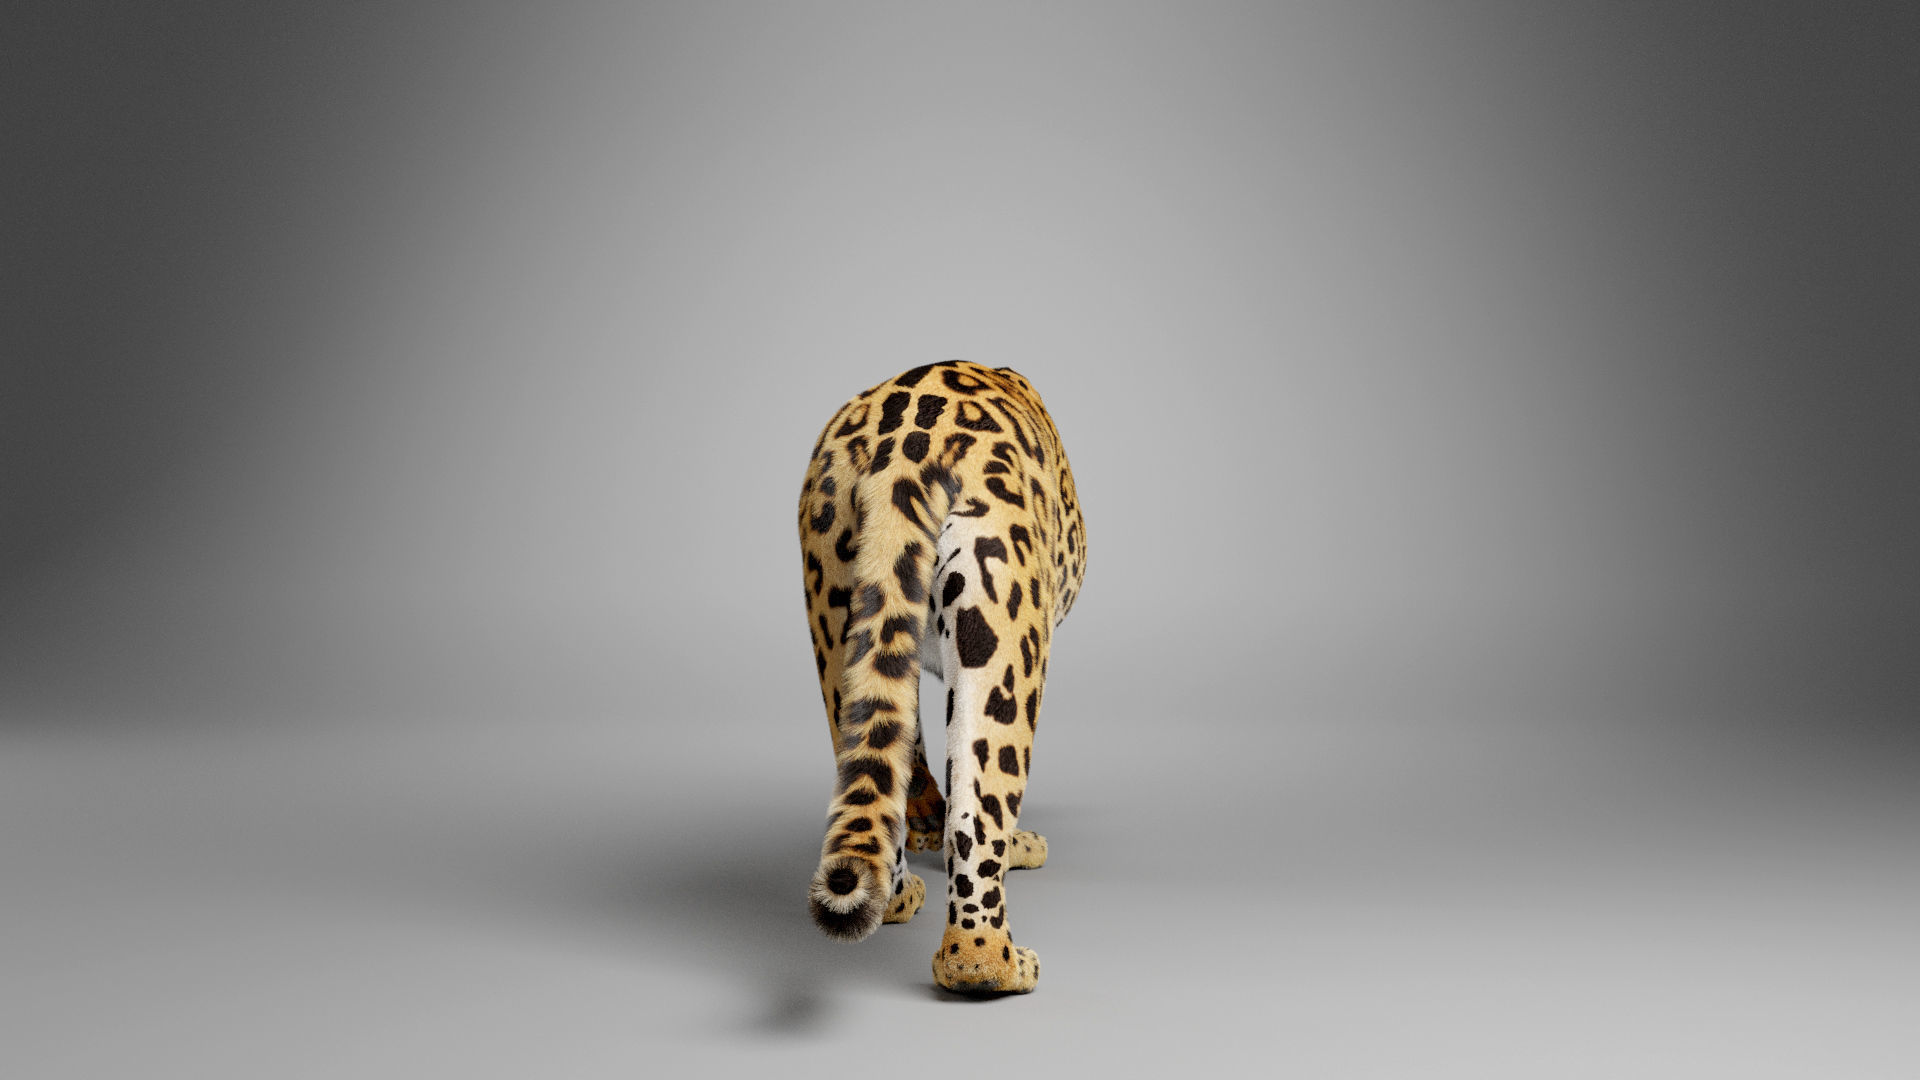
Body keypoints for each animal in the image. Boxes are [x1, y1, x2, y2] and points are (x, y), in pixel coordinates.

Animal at [797, 360, 1086, 995]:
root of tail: (900, 447)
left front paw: (925, 819)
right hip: (1003, 645)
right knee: (980, 813)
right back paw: (993, 962)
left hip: (838, 620)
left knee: (871, 754)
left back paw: (895, 896)